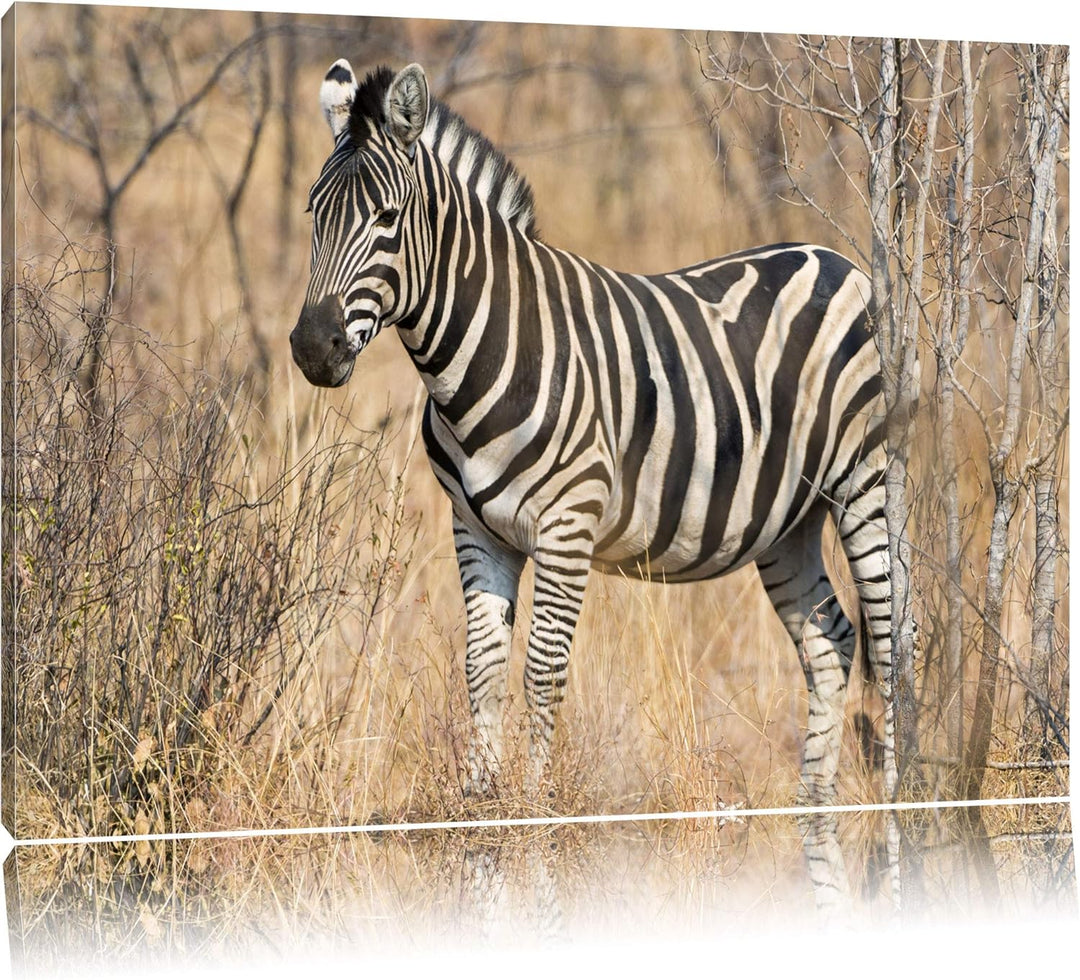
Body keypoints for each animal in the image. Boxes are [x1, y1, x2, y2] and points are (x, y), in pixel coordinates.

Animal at [290, 60, 899, 805]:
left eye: (387, 218)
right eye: (314, 215)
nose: (312, 348)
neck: (487, 349)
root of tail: (833, 259)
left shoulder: (567, 525)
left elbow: (541, 672)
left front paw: (534, 810)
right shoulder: (475, 528)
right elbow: (483, 667)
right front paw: (479, 803)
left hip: (864, 485)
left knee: (890, 644)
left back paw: (900, 802)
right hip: (788, 518)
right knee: (830, 640)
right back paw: (814, 803)